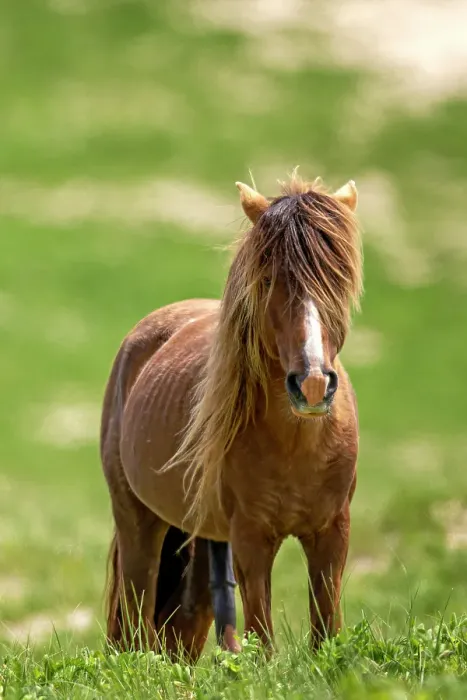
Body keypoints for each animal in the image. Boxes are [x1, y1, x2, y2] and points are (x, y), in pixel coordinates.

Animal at [101, 173, 363, 655]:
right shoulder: (251, 540)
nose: (313, 384)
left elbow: (326, 632)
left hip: (203, 535)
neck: (299, 443)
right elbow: (263, 640)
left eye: (339, 276)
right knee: (137, 623)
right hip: (139, 523)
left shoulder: (332, 534)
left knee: (187, 622)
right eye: (269, 278)